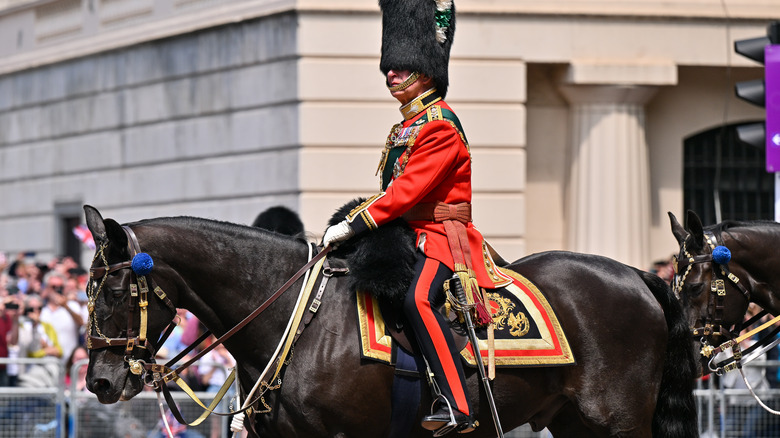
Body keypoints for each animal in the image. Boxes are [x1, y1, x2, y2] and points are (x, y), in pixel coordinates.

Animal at [84, 206, 696, 438]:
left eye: (113, 290)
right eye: (87, 293)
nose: (100, 382)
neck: (294, 322)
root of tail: (637, 275)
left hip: (619, 422)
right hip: (572, 421)